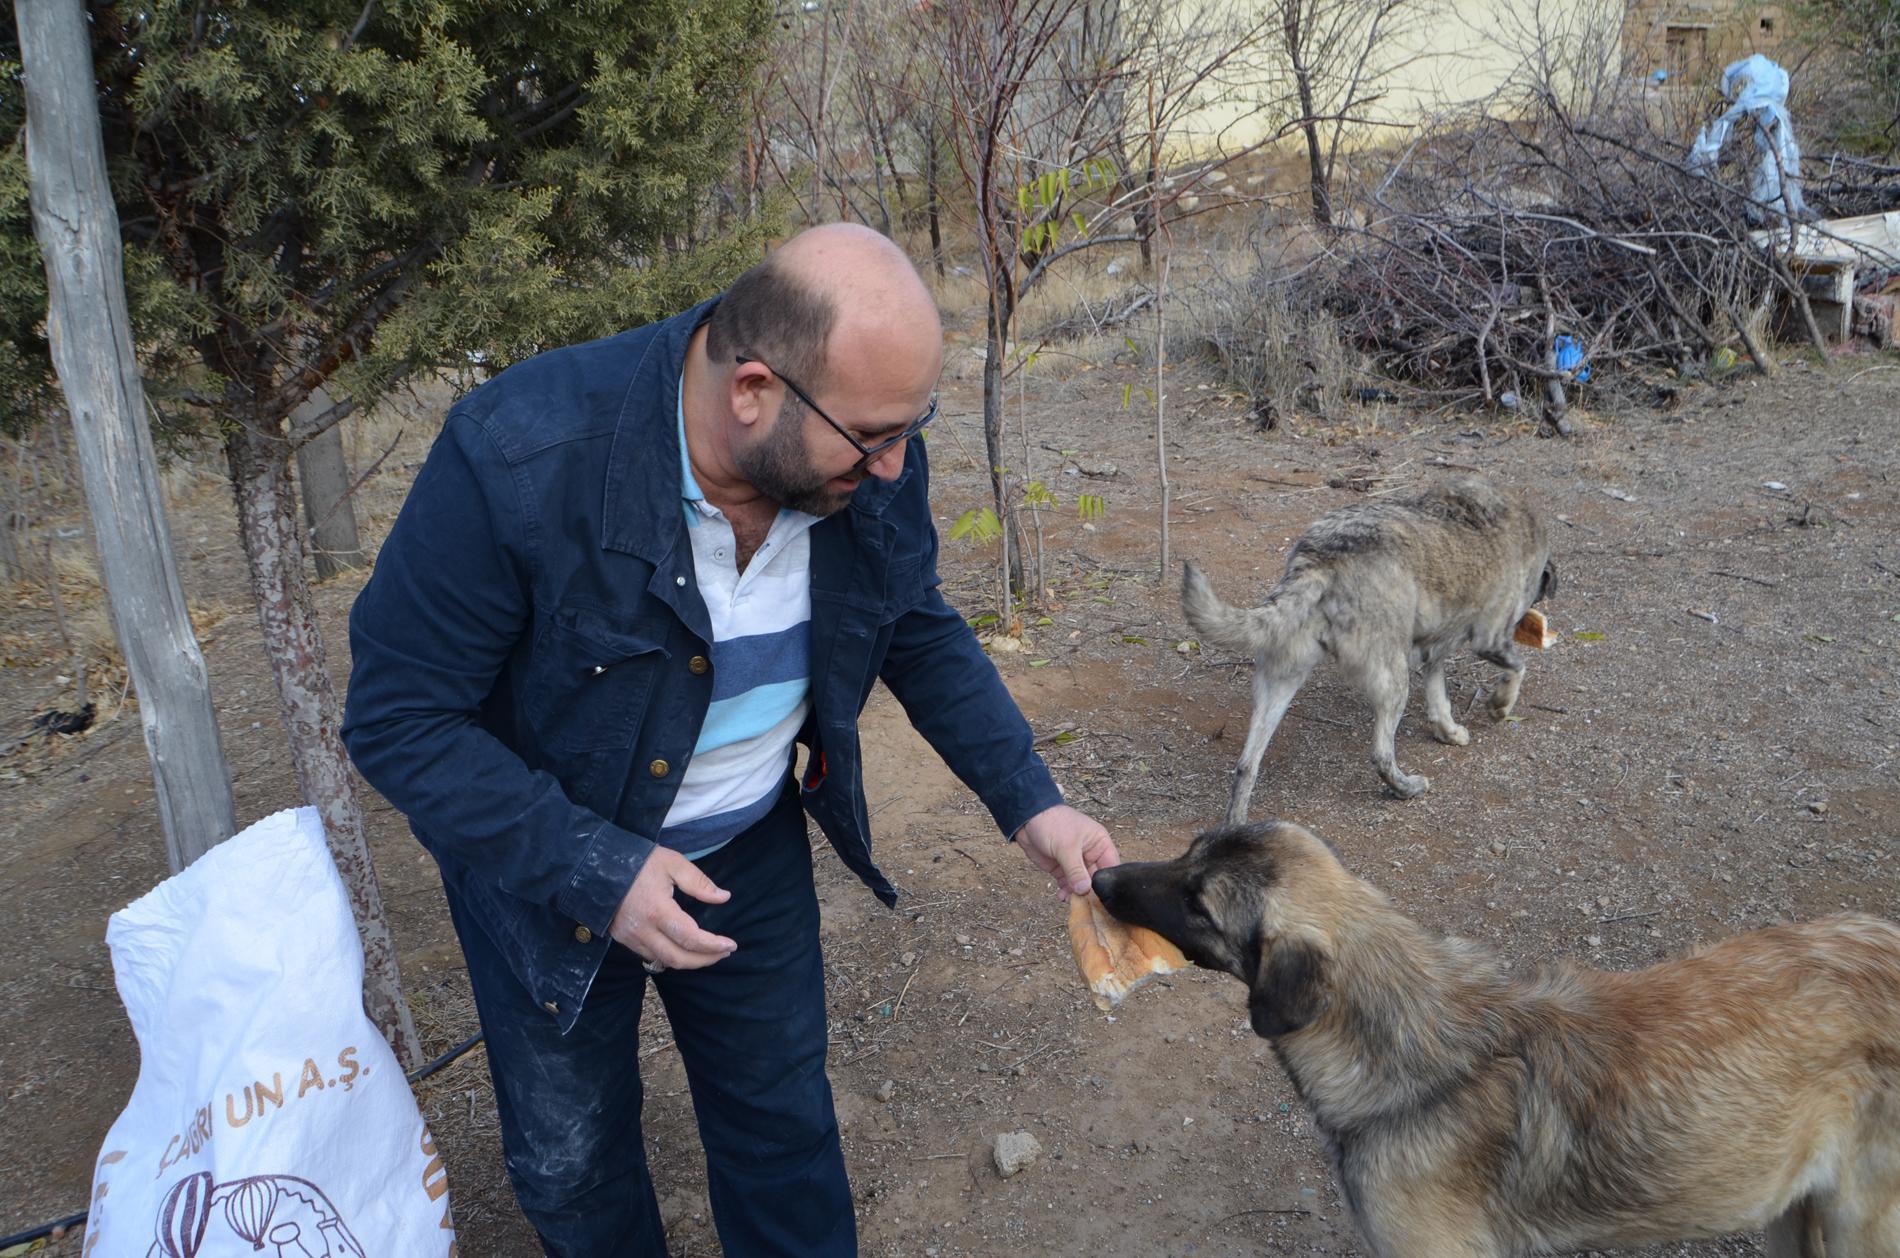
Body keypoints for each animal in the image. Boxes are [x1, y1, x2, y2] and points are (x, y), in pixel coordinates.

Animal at [1185, 478, 1558, 813]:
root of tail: (1318, 560)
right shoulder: (1489, 639)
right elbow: (1517, 668)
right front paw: (1500, 705)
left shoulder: (1434, 652)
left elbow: (1439, 701)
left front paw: (1449, 732)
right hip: (1393, 681)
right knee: (1380, 755)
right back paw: (1407, 788)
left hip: (1280, 681)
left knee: (1246, 766)